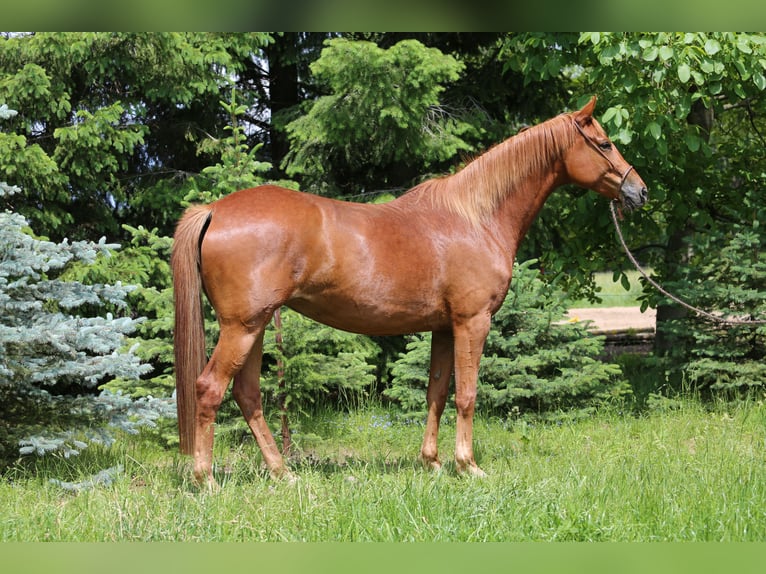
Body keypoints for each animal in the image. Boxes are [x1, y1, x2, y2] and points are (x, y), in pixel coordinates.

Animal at [172, 96, 648, 487]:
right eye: (604, 143)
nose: (639, 190)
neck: (475, 217)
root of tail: (213, 210)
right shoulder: (472, 322)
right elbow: (468, 394)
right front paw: (468, 466)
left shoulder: (443, 327)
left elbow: (436, 392)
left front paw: (432, 463)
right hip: (241, 327)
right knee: (209, 388)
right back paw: (206, 480)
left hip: (253, 327)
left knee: (247, 394)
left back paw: (282, 473)